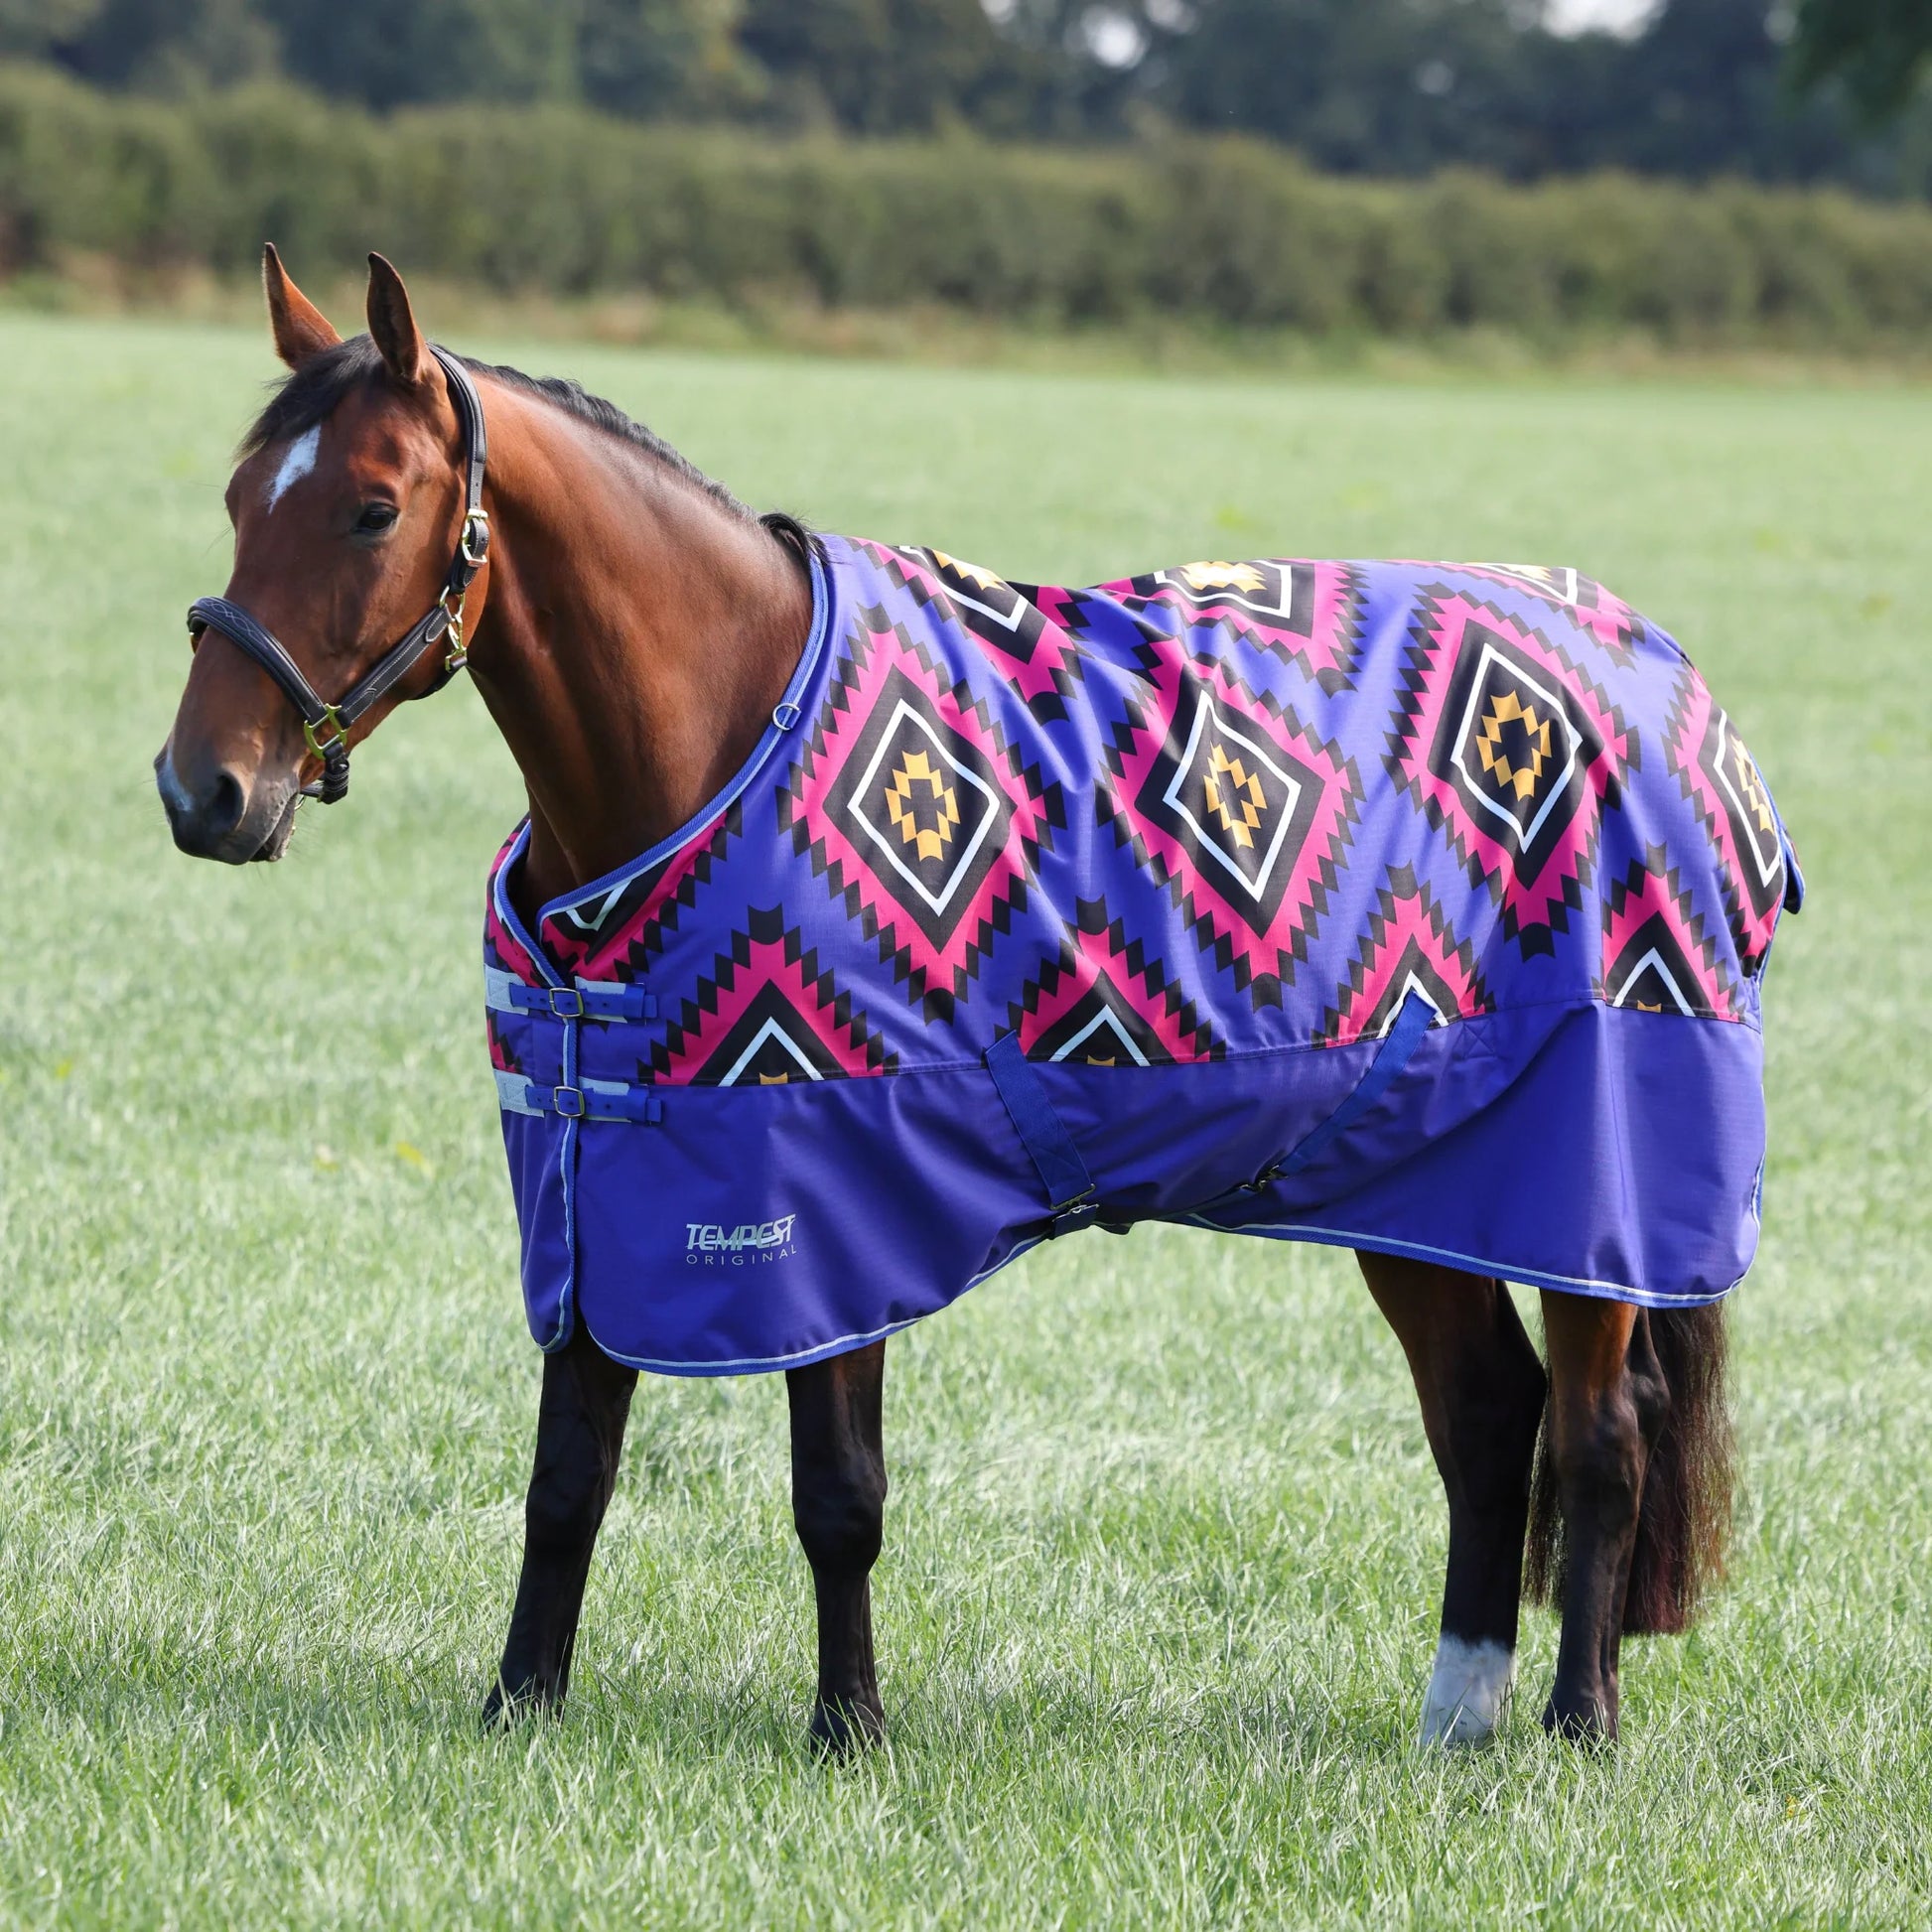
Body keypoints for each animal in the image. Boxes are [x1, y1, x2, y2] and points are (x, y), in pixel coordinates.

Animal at [158, 247, 1792, 1750]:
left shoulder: (829, 1189)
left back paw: (1578, 1721)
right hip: (1419, 1170)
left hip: (1588, 1172)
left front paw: (851, 1729)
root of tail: (1670, 687)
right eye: (239, 497)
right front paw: (519, 1707)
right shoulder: (595, 1176)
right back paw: (1459, 1712)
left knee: (1596, 1435)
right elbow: (568, 1475)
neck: (720, 729)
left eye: (372, 506)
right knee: (1485, 1415)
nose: (203, 790)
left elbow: (837, 1493)